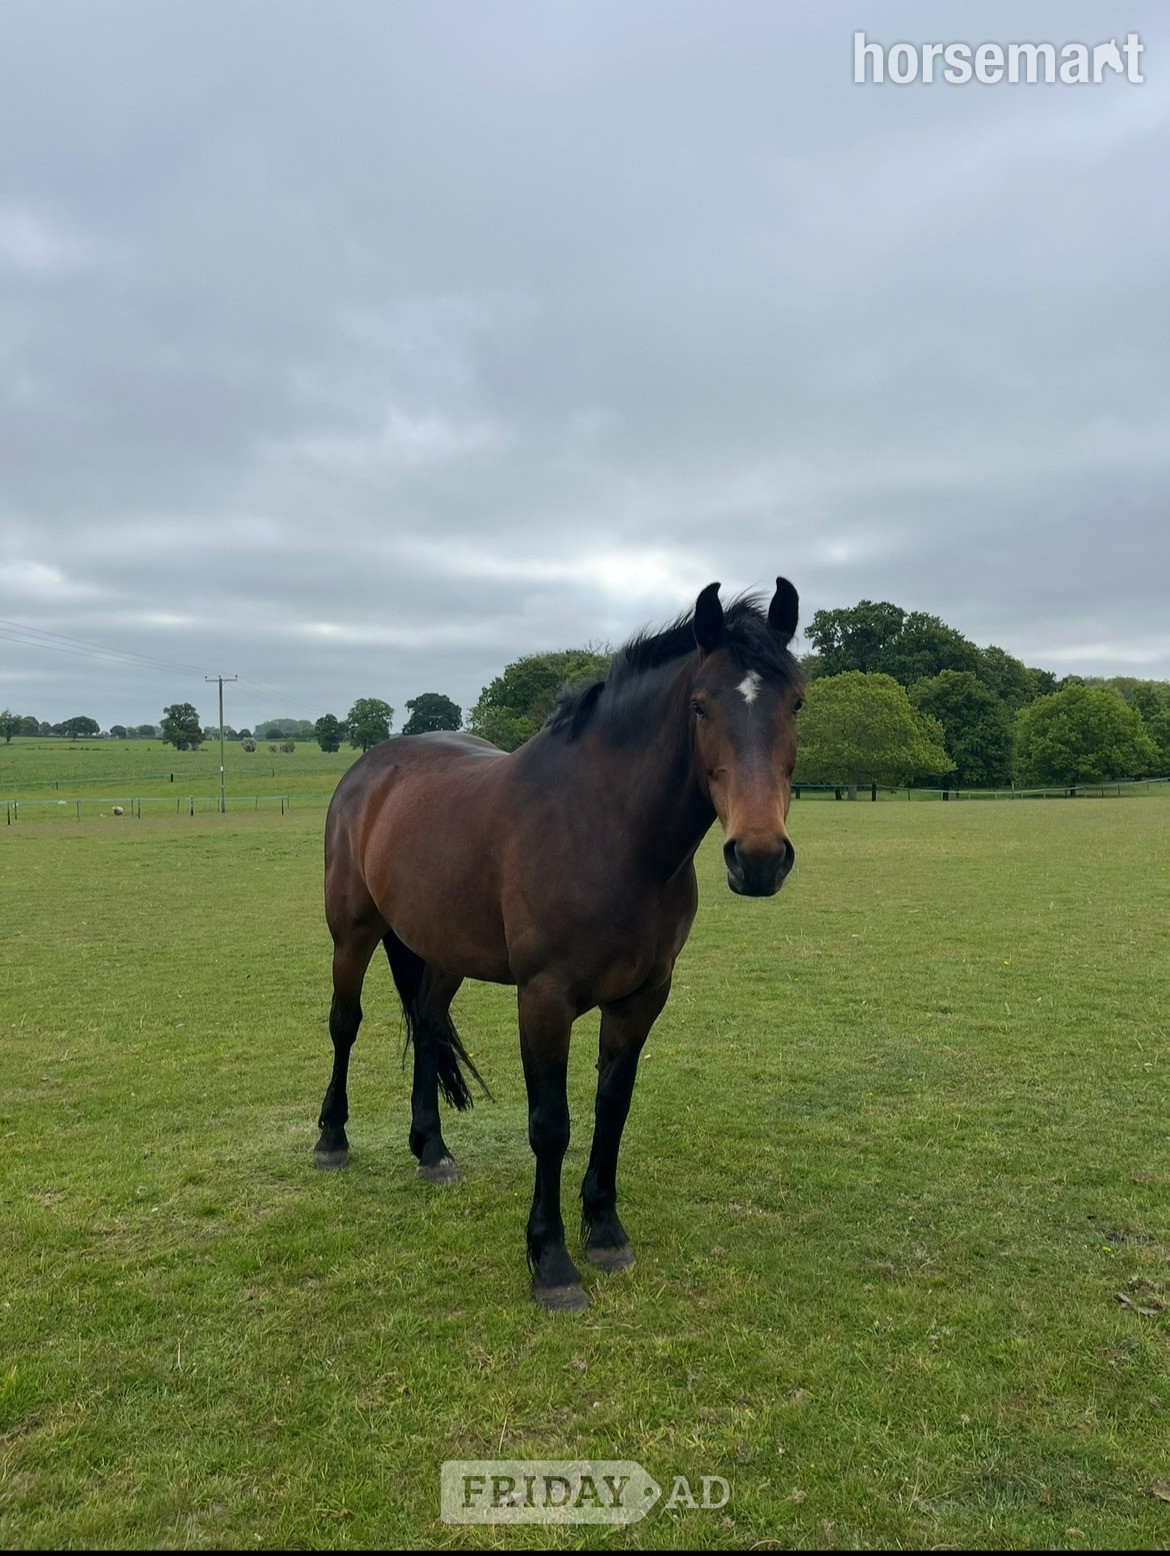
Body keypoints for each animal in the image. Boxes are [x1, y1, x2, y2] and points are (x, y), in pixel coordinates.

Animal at [314, 578, 804, 1313]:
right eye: (699, 705)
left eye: (796, 700)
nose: (759, 857)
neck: (607, 829)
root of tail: (371, 767)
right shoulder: (544, 999)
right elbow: (551, 1123)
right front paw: (551, 1262)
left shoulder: (642, 996)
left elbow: (612, 1107)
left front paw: (604, 1230)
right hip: (353, 932)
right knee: (345, 1024)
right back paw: (332, 1138)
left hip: (443, 950)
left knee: (427, 1024)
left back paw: (432, 1151)